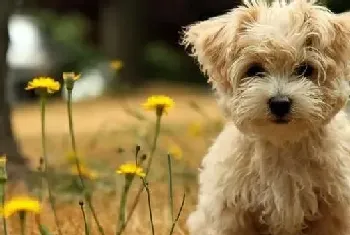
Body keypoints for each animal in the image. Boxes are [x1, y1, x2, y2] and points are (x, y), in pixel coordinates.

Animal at [182, 0, 350, 235]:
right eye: (254, 70)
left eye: (305, 69)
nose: (280, 103)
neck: (283, 143)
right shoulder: (231, 212)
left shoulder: (333, 211)